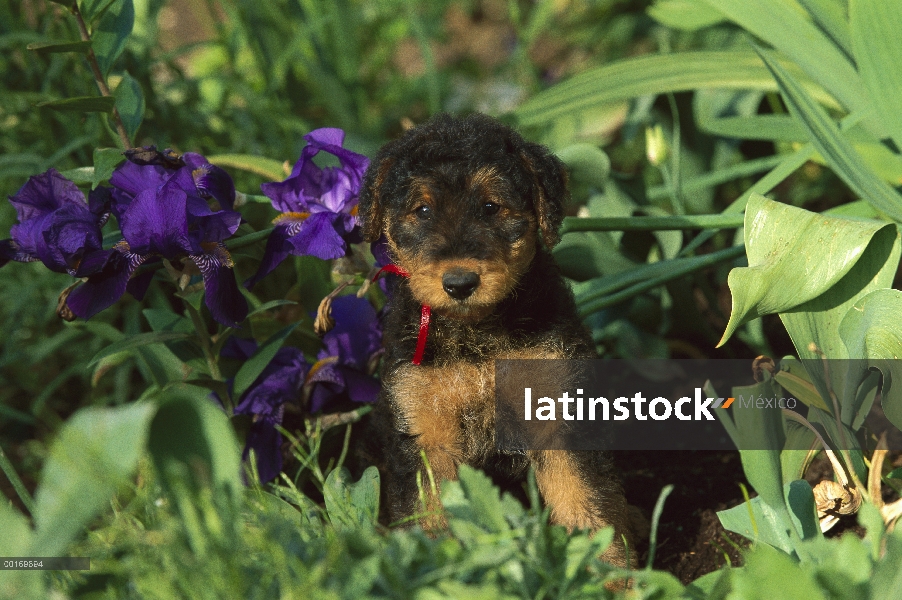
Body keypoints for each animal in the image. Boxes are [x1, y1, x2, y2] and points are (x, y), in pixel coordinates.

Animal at [356, 113, 632, 568]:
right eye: (422, 210)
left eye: (490, 206)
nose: (459, 283)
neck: (477, 337)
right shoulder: (424, 435)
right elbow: (432, 516)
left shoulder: (559, 415)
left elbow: (585, 504)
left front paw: (611, 575)